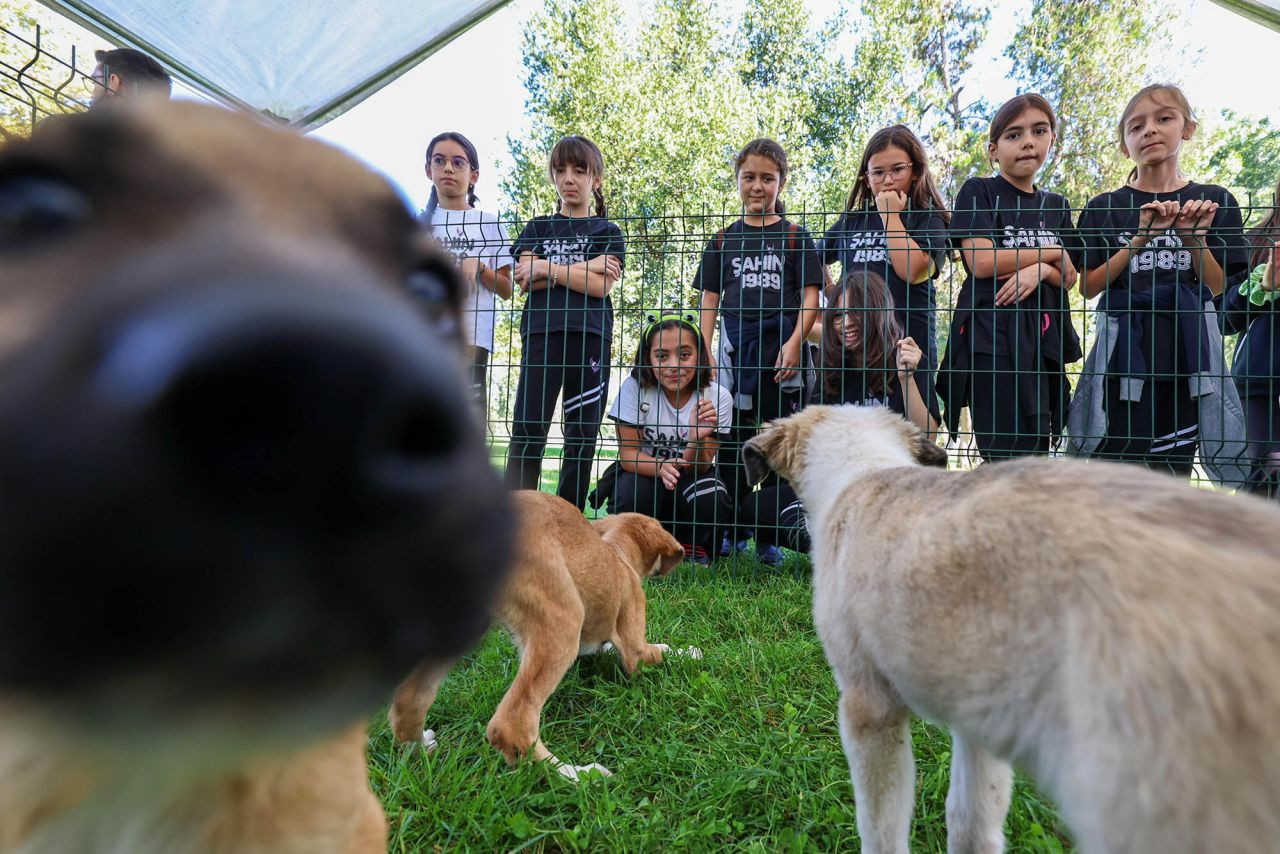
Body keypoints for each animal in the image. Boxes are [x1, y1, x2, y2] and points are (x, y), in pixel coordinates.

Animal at [389, 494, 701, 783]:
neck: (618, 553)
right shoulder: (635, 649)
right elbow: (660, 650)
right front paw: (690, 651)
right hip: (563, 619)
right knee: (511, 724)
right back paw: (578, 776)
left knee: (410, 700)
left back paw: (421, 749)